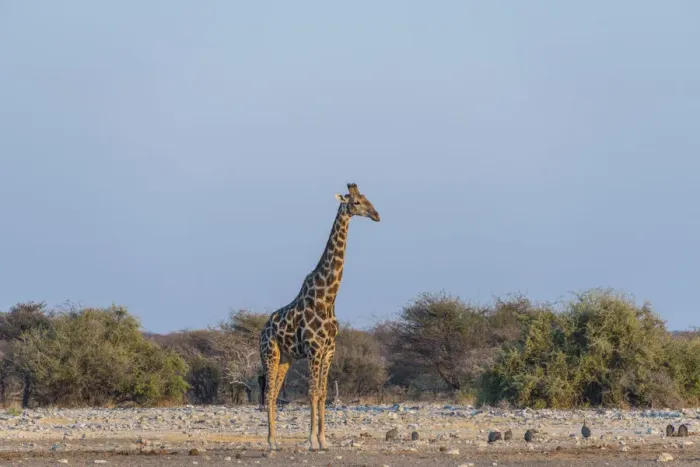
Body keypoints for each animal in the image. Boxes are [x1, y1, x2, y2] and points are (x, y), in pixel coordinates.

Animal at [259, 182, 380, 452]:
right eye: (356, 202)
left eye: (367, 198)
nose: (376, 215)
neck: (327, 297)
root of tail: (262, 330)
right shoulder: (314, 349)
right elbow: (312, 392)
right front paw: (312, 441)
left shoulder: (329, 350)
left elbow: (324, 393)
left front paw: (324, 440)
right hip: (270, 354)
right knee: (269, 392)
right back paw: (271, 442)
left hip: (285, 359)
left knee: (274, 393)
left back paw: (276, 440)